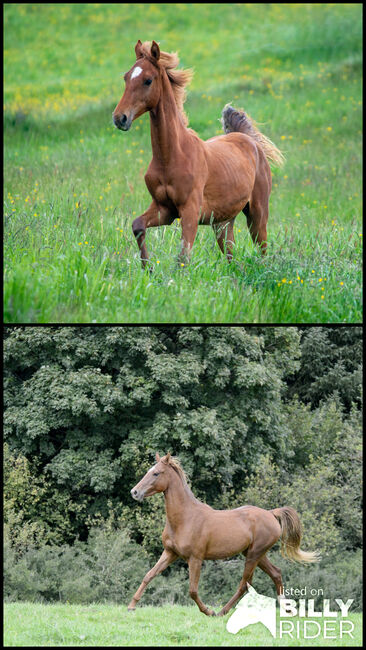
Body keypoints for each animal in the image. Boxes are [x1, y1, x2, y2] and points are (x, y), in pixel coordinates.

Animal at [113, 39, 284, 268]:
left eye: (148, 80)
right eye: (126, 77)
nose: (119, 118)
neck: (171, 156)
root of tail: (250, 141)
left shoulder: (190, 212)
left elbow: (183, 257)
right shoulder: (164, 209)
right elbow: (137, 225)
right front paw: (147, 268)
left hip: (257, 213)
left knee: (262, 248)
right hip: (222, 222)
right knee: (231, 254)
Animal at [127, 454, 318, 616]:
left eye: (156, 473)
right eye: (148, 471)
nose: (134, 492)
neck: (184, 518)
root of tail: (271, 514)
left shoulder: (195, 559)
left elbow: (192, 590)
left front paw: (208, 611)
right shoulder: (170, 553)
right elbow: (149, 575)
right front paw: (131, 607)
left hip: (254, 554)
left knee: (244, 584)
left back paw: (221, 612)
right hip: (255, 554)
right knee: (275, 574)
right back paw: (288, 610)